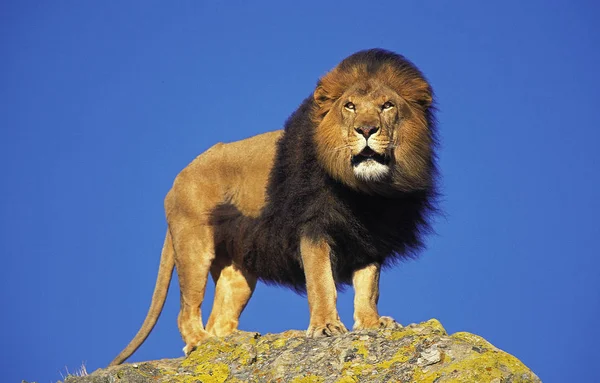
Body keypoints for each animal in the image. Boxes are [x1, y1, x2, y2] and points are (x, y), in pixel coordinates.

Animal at [109, 49, 436, 368]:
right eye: (350, 106)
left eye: (387, 106)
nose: (366, 129)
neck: (365, 192)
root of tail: (177, 179)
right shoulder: (313, 227)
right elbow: (321, 282)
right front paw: (326, 327)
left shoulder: (371, 238)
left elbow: (368, 287)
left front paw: (372, 323)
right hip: (194, 245)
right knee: (187, 309)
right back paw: (200, 342)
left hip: (238, 268)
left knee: (220, 319)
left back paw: (232, 342)